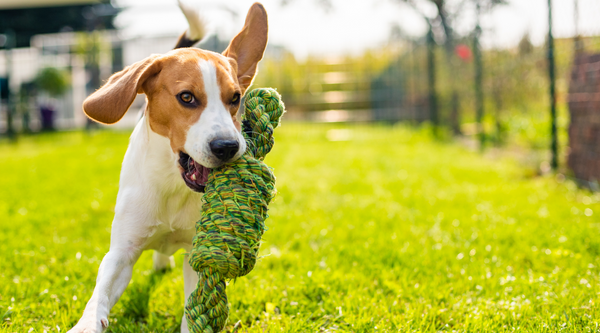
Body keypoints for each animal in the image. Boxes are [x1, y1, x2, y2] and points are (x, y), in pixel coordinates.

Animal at [66, 1, 270, 330]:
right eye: (186, 97)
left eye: (235, 98)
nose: (227, 146)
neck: (173, 186)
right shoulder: (121, 253)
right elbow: (101, 292)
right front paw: (86, 323)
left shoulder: (197, 253)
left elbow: (193, 303)